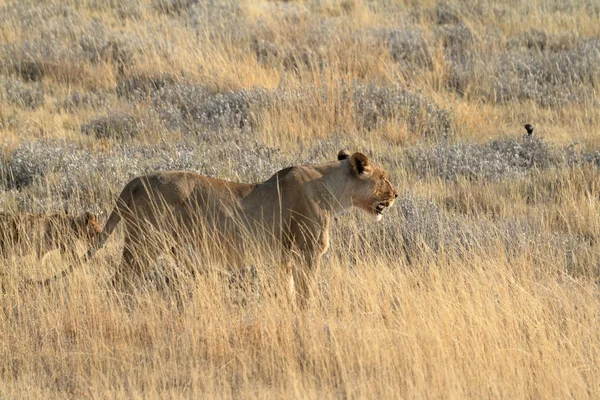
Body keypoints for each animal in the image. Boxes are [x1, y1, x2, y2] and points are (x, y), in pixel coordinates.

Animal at [85, 152, 394, 304]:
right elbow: (307, 291)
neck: (332, 190)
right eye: (384, 178)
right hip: (144, 243)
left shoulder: (284, 257)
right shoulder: (307, 252)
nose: (396, 194)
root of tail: (137, 179)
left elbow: (289, 289)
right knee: (118, 283)